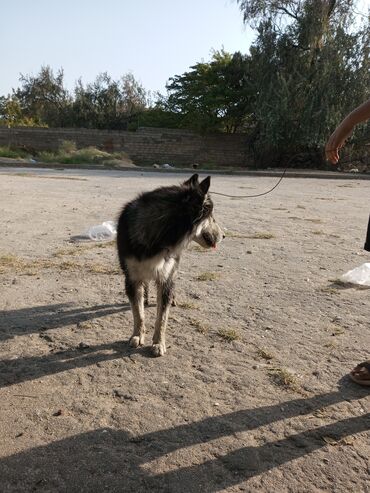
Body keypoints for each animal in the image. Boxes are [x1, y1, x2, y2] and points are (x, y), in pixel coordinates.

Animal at [117, 173, 224, 354]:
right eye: (212, 217)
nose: (224, 236)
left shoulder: (165, 278)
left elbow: (162, 317)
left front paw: (158, 343)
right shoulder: (132, 279)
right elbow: (138, 313)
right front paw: (137, 335)